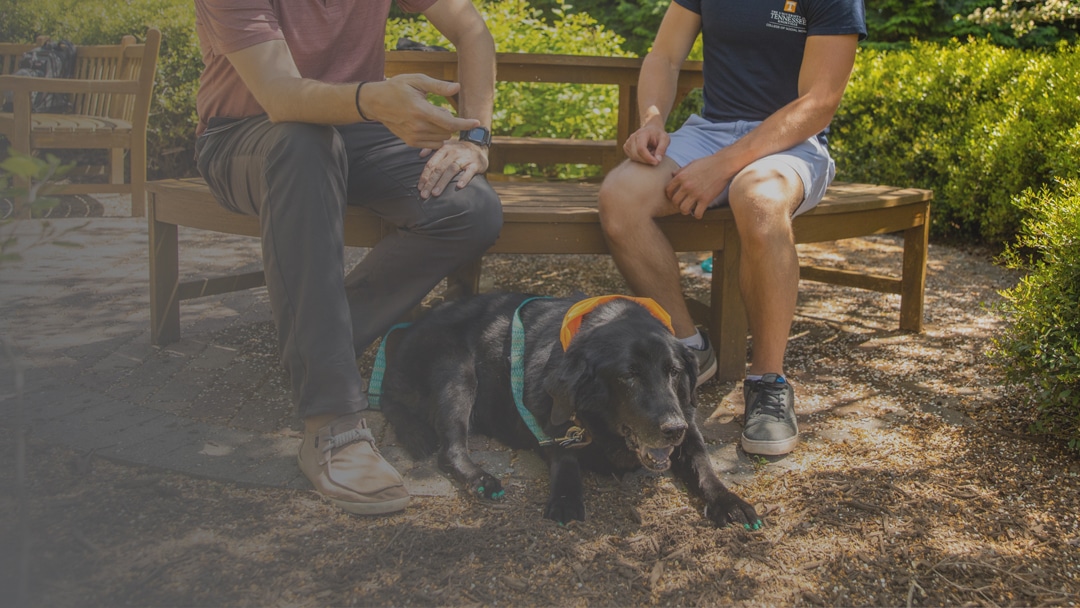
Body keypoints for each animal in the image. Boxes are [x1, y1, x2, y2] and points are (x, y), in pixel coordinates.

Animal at [378, 293, 760, 529]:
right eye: (628, 376)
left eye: (674, 371)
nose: (672, 428)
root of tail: (409, 327)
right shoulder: (547, 419)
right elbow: (565, 457)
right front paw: (566, 497)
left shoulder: (688, 420)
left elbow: (704, 465)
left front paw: (728, 500)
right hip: (457, 372)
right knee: (449, 450)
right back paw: (479, 479)